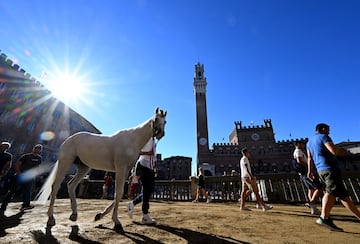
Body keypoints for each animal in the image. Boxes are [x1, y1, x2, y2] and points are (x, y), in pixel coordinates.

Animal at [35, 107, 167, 232]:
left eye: (165, 121)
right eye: (156, 119)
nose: (160, 134)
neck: (132, 139)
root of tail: (69, 139)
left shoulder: (125, 171)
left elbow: (119, 194)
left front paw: (99, 215)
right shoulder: (120, 168)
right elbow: (118, 193)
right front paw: (116, 222)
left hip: (84, 167)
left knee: (71, 185)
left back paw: (74, 215)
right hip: (65, 163)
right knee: (55, 186)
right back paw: (51, 218)